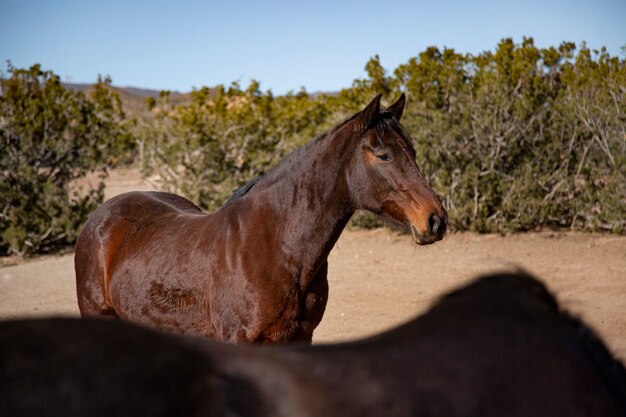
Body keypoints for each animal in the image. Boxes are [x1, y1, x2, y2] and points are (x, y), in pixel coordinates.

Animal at [73, 94, 446, 342]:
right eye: (383, 155)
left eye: (412, 152)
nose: (436, 220)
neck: (278, 249)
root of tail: (101, 215)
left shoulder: (300, 339)